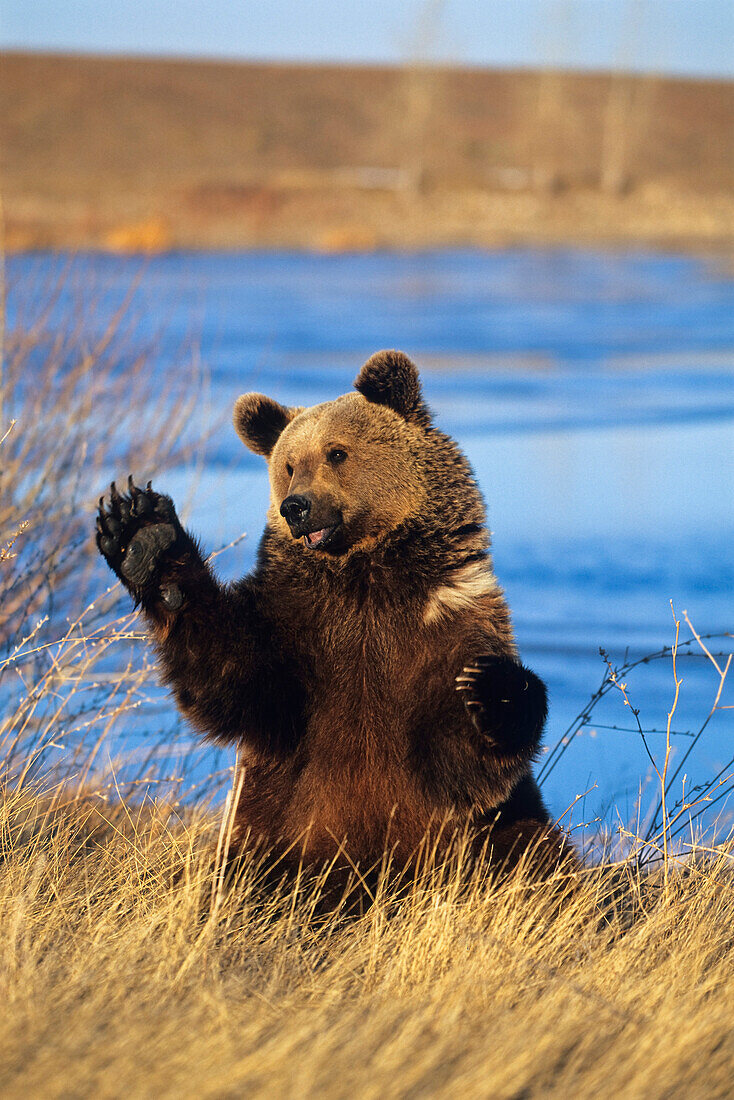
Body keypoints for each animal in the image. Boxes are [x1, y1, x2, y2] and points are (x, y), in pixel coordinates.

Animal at [94, 349, 572, 893]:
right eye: (288, 465)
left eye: (337, 453)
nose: (296, 507)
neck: (363, 579)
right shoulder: (297, 629)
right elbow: (231, 672)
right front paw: (142, 534)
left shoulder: (445, 622)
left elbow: (466, 748)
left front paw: (491, 688)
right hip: (267, 837)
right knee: (244, 874)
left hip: (486, 839)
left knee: (533, 850)